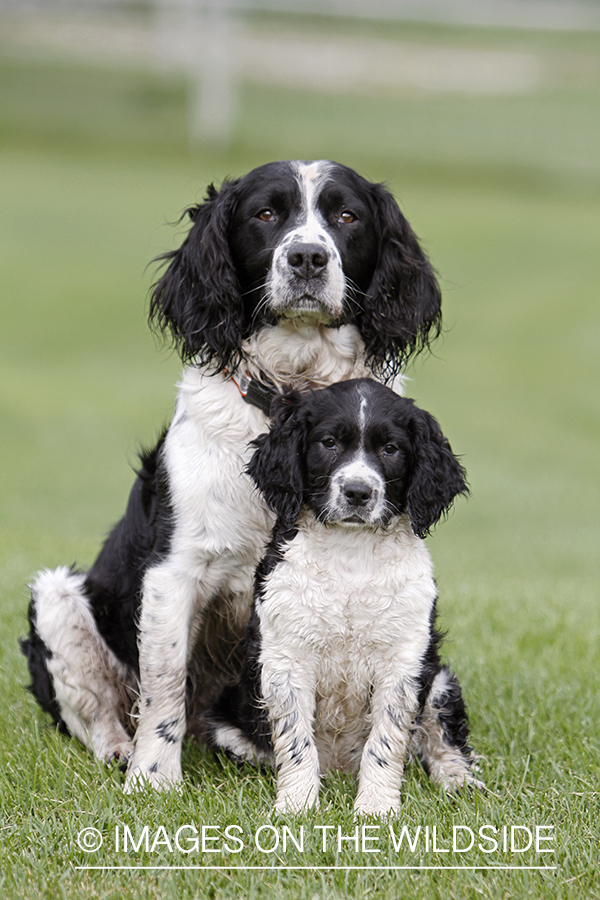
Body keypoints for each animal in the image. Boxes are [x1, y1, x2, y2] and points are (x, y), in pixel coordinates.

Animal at [21, 158, 442, 792]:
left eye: (347, 216)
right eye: (265, 213)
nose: (307, 258)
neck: (291, 391)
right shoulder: (174, 571)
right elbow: (165, 683)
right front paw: (153, 778)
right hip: (57, 597)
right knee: (96, 713)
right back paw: (121, 749)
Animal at [209, 380, 480, 816]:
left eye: (391, 449)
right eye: (329, 443)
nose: (358, 492)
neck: (351, 554)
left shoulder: (404, 659)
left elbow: (386, 741)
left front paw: (376, 808)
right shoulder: (285, 656)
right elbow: (295, 741)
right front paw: (296, 806)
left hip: (440, 680)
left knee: (442, 739)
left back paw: (459, 781)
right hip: (226, 721)